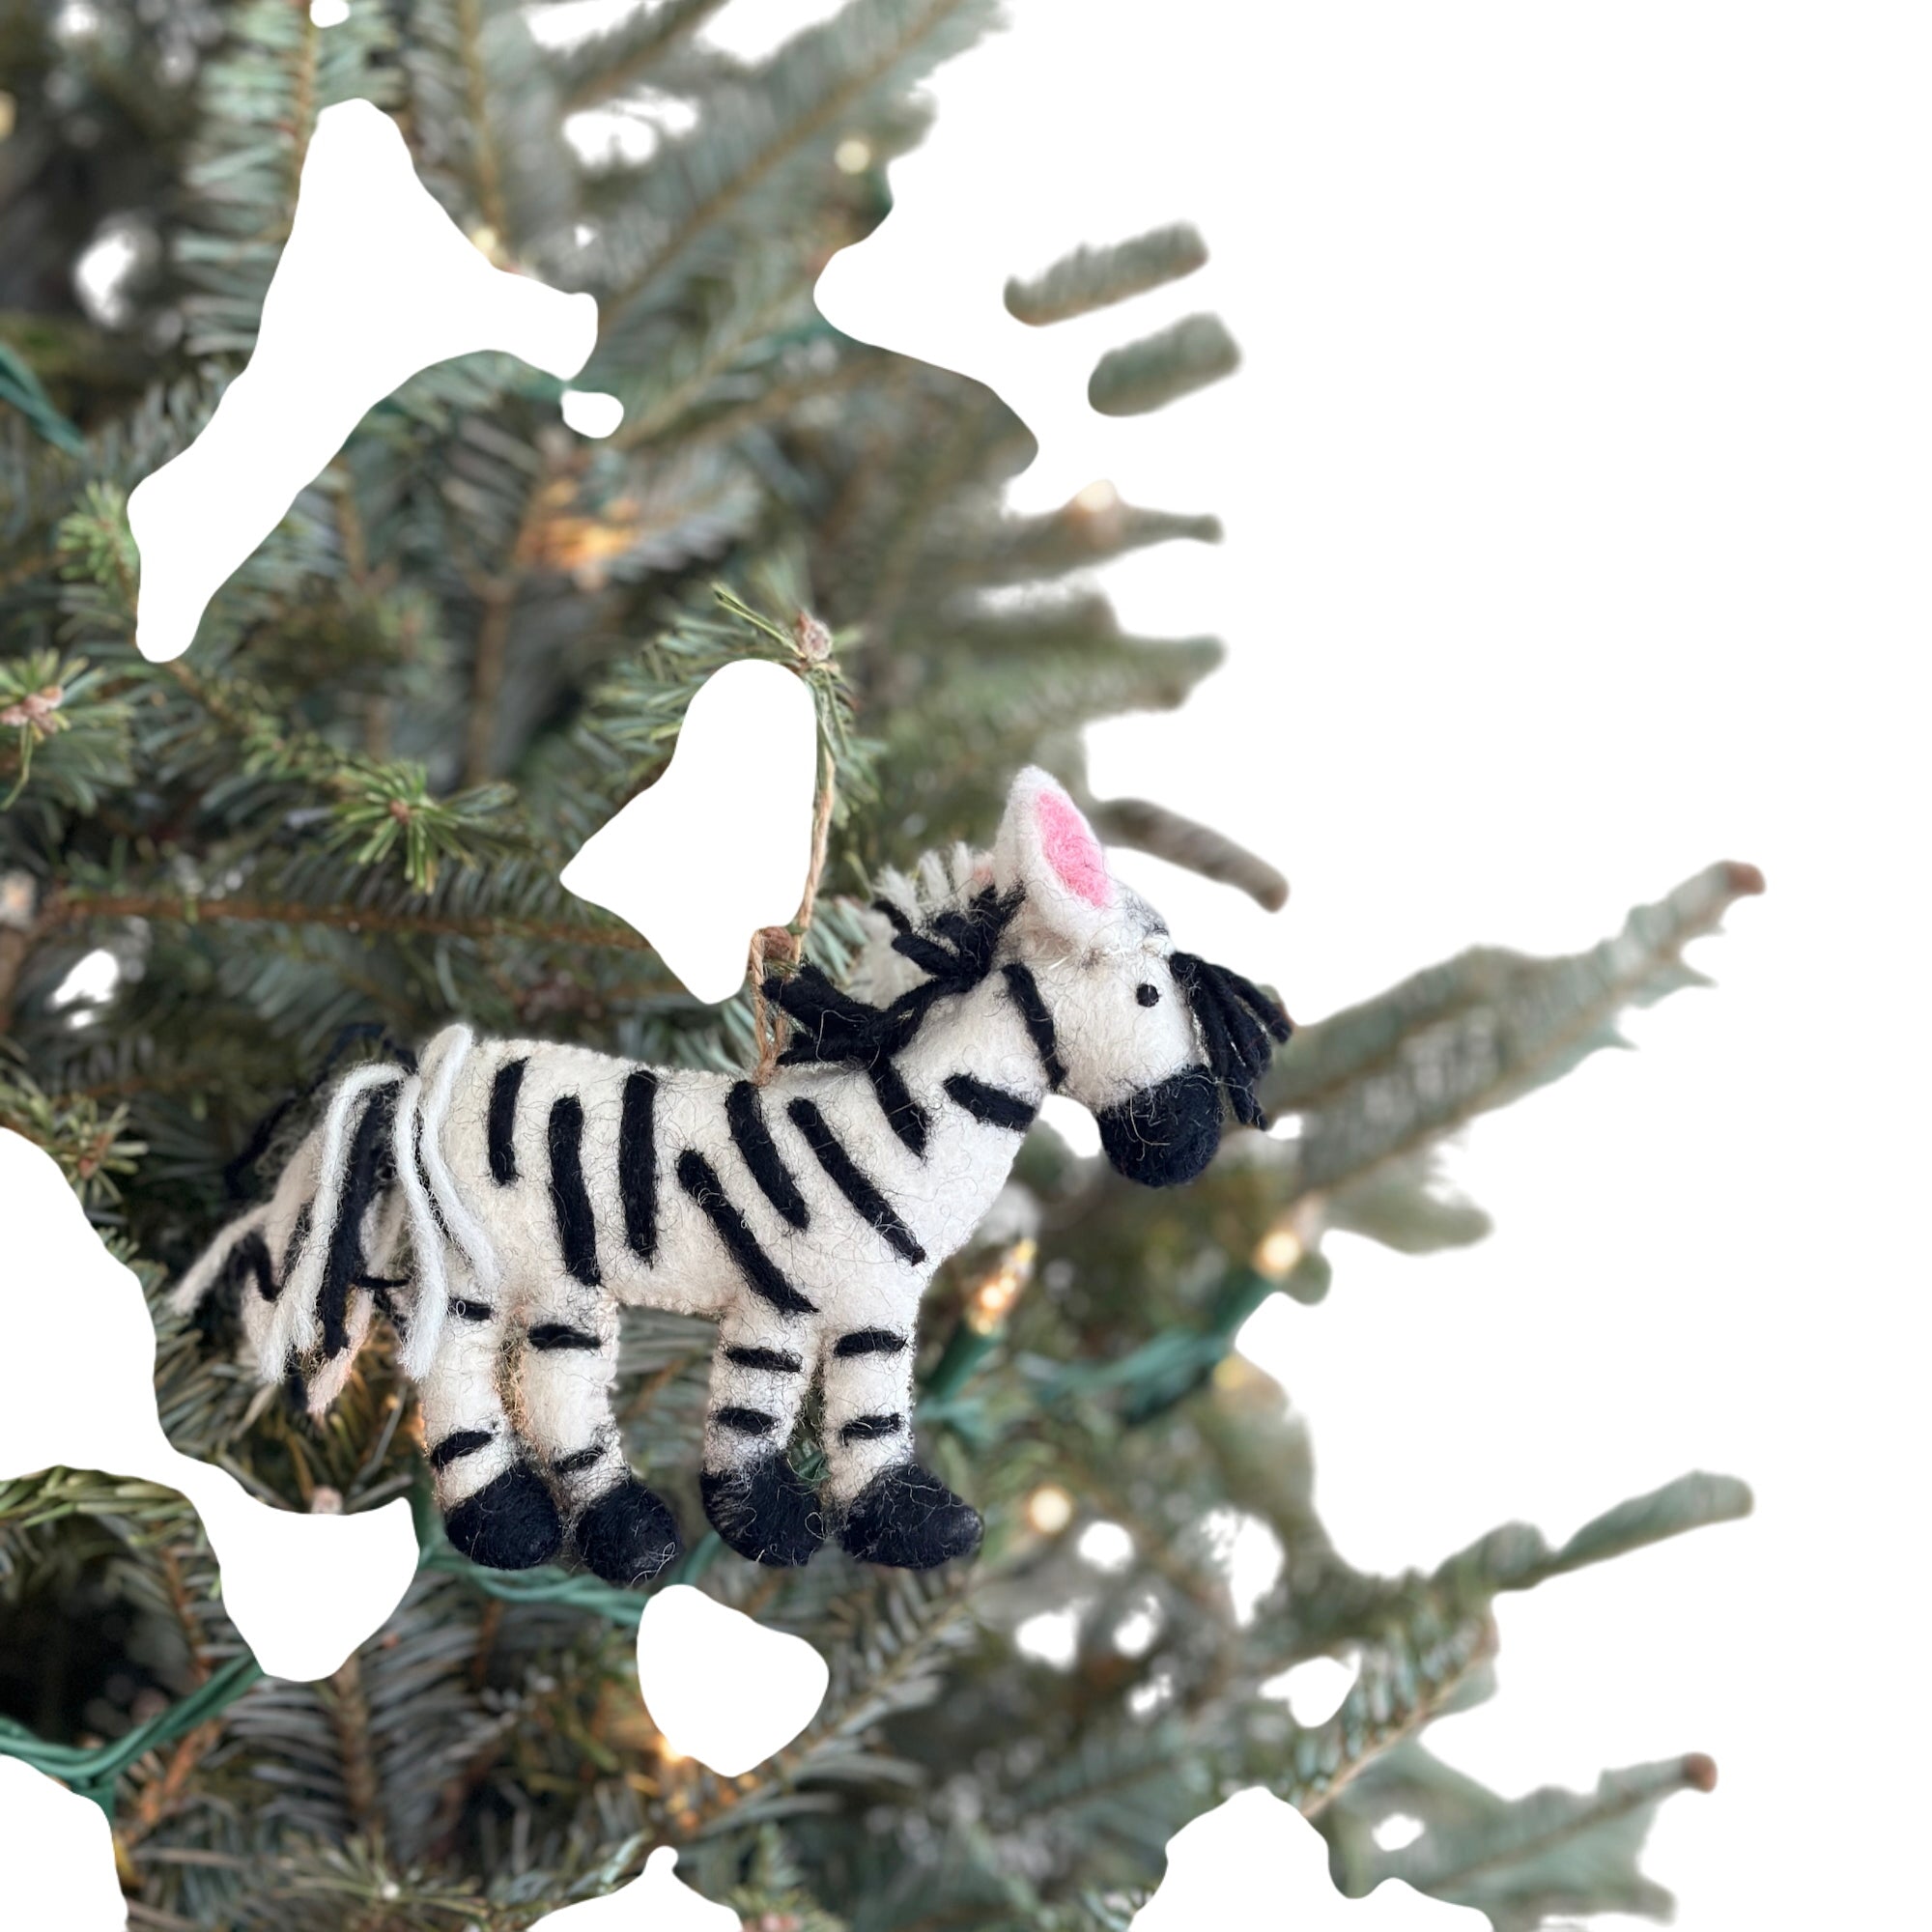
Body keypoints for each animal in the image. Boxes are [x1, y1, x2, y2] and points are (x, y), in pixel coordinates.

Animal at [172, 769, 1291, 1583]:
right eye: (1148, 994)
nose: (1186, 1149)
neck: (907, 1129)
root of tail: (439, 1071)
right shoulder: (799, 1291)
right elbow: (781, 1408)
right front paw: (775, 1523)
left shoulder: (850, 1304)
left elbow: (847, 1407)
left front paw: (889, 1522)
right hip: (497, 1262)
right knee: (474, 1380)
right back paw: (530, 1523)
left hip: (545, 1276)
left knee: (544, 1382)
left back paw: (601, 1526)